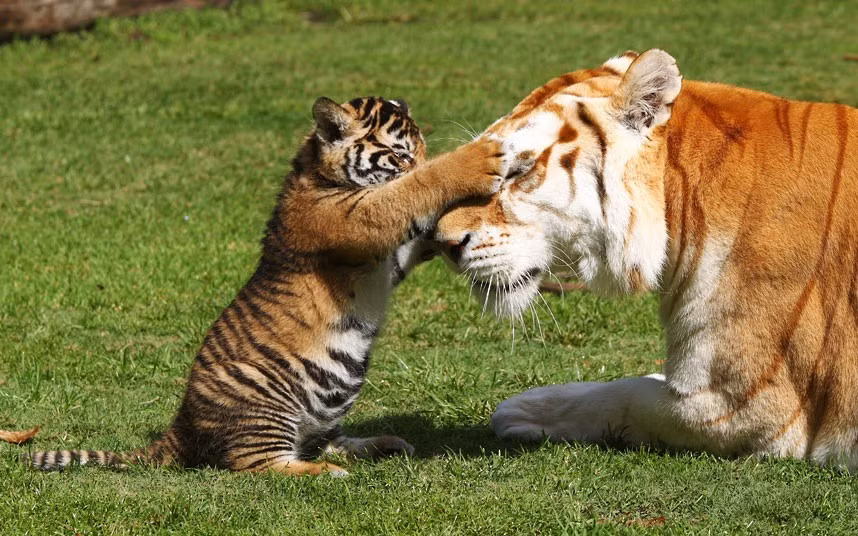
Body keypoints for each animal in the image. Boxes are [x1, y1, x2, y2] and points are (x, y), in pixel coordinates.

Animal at [22, 96, 513, 476]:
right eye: (399, 155)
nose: (415, 159)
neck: (316, 171)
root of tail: (179, 426)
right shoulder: (360, 219)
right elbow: (412, 190)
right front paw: (479, 158)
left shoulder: (389, 256)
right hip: (264, 402)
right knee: (260, 464)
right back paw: (325, 471)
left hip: (321, 412)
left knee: (327, 442)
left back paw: (384, 444)